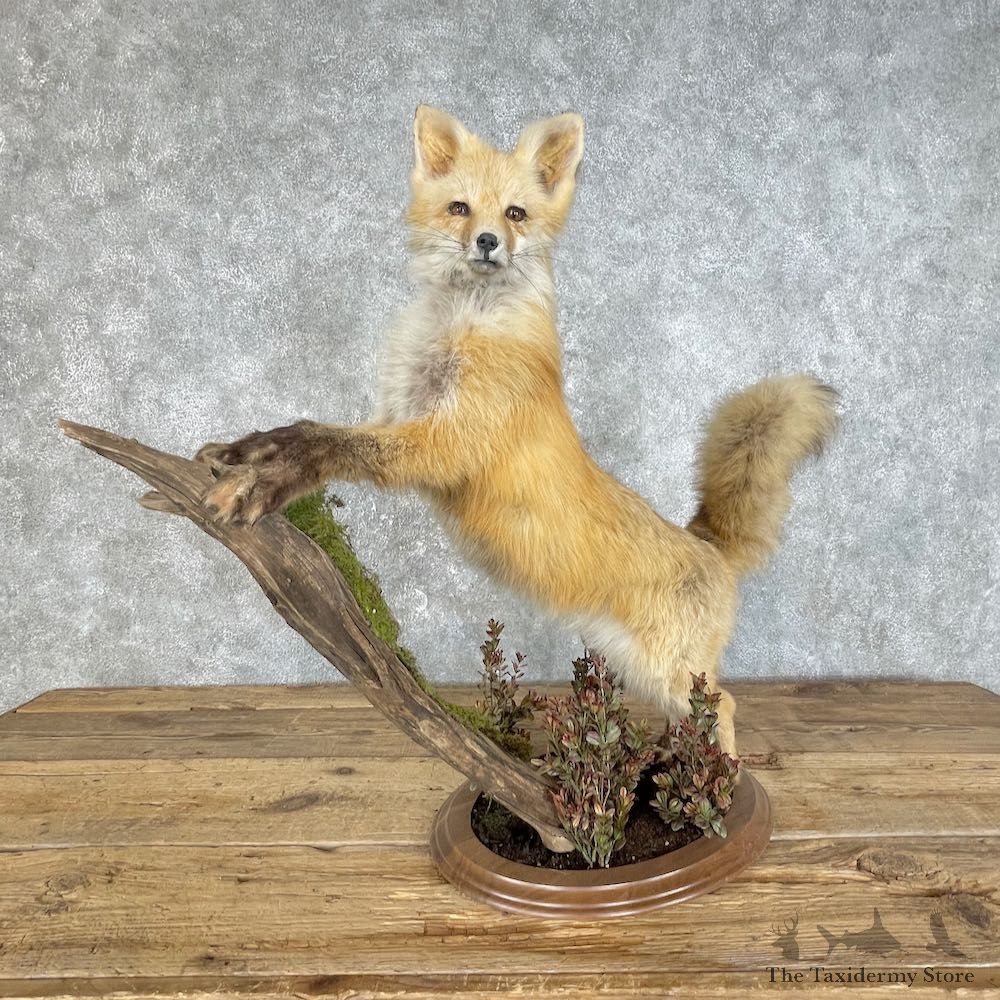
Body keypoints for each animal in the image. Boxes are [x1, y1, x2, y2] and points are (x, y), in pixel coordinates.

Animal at [195, 105, 839, 755]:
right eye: (460, 208)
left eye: (515, 214)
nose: (487, 242)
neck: (460, 324)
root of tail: (706, 541)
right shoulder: (398, 416)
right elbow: (310, 428)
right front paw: (242, 452)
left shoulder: (444, 443)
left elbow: (323, 442)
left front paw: (262, 483)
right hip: (636, 667)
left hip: (669, 673)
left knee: (724, 706)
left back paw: (717, 776)